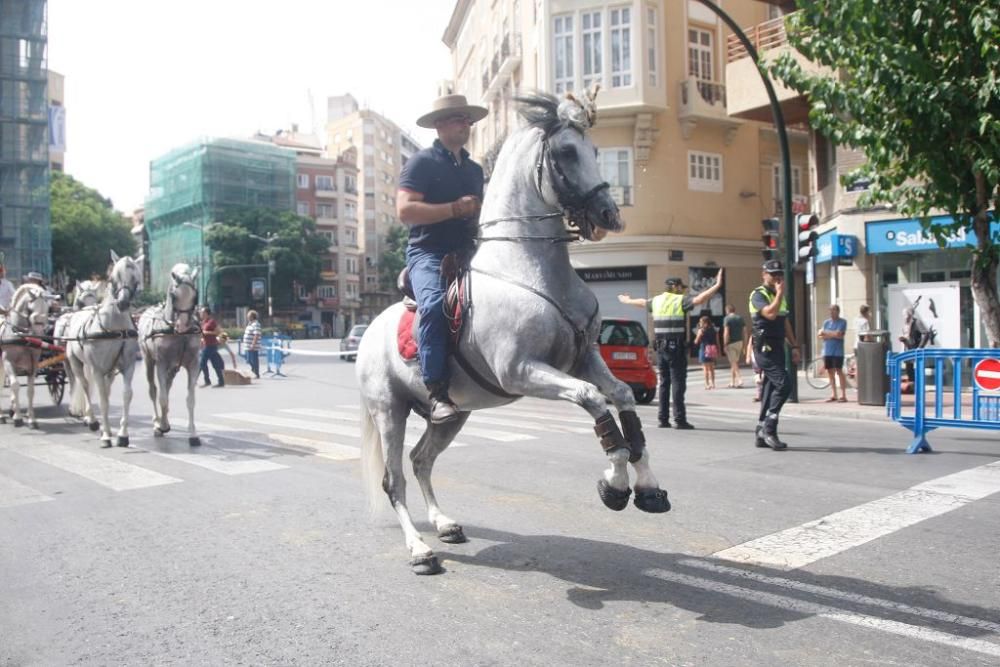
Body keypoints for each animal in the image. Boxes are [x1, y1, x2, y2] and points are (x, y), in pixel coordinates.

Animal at [65, 252, 143, 448]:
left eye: (135, 279)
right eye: (113, 278)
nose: (122, 303)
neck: (116, 327)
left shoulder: (128, 365)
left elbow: (126, 395)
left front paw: (122, 434)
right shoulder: (97, 369)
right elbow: (102, 400)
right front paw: (106, 435)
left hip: (108, 369)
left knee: (104, 390)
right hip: (77, 363)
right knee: (85, 385)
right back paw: (92, 420)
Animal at [138, 264, 202, 446]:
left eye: (195, 297)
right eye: (174, 295)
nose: (182, 326)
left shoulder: (193, 364)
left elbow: (190, 399)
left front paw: (193, 433)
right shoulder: (161, 363)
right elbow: (162, 397)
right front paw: (162, 426)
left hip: (173, 368)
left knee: (166, 386)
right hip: (148, 360)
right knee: (154, 390)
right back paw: (157, 423)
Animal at [360, 91, 672, 576]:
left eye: (596, 150)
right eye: (567, 152)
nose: (609, 215)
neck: (530, 270)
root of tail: (368, 331)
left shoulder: (584, 359)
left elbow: (621, 397)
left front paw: (648, 485)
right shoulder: (522, 370)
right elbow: (593, 401)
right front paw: (615, 483)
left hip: (452, 415)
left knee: (421, 460)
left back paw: (444, 524)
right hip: (388, 412)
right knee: (394, 479)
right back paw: (420, 550)